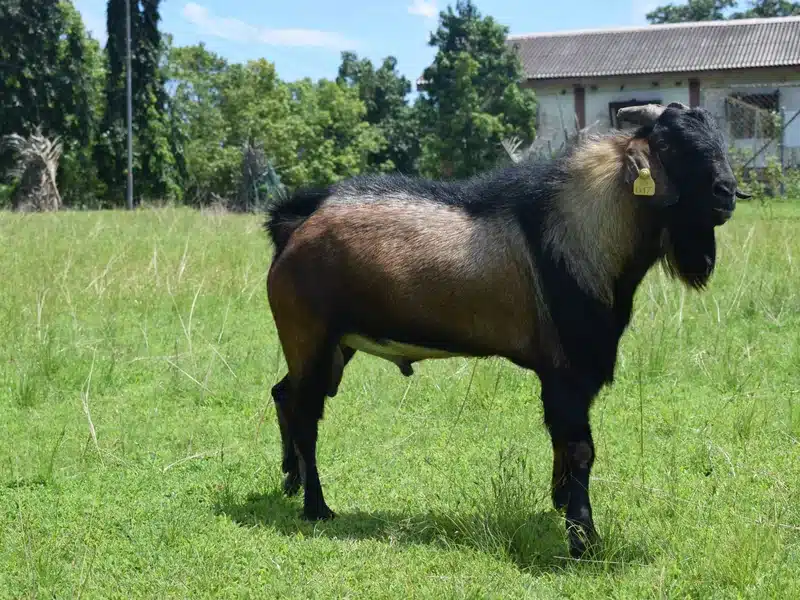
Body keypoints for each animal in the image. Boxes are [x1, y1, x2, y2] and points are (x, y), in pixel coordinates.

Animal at [263, 102, 748, 558]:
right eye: (667, 145)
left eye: (717, 139)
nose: (726, 193)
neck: (577, 232)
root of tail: (294, 226)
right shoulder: (567, 368)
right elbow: (579, 448)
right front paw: (583, 540)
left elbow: (563, 445)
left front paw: (560, 506)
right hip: (310, 334)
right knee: (305, 412)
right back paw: (317, 507)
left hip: (331, 346)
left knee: (283, 393)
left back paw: (290, 482)